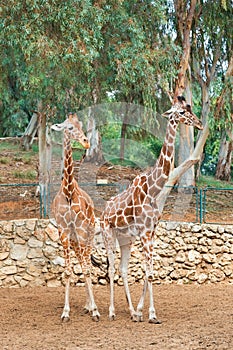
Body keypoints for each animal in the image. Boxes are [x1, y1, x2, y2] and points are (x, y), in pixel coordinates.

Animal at [101, 95, 203, 322]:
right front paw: (151, 314)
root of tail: (103, 212)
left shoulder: (151, 232)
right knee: (111, 269)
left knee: (122, 268)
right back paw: (111, 312)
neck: (153, 189)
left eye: (190, 108)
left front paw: (140, 312)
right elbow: (148, 271)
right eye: (181, 112)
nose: (200, 124)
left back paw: (130, 311)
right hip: (108, 234)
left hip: (125, 239)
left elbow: (149, 270)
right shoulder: (145, 233)